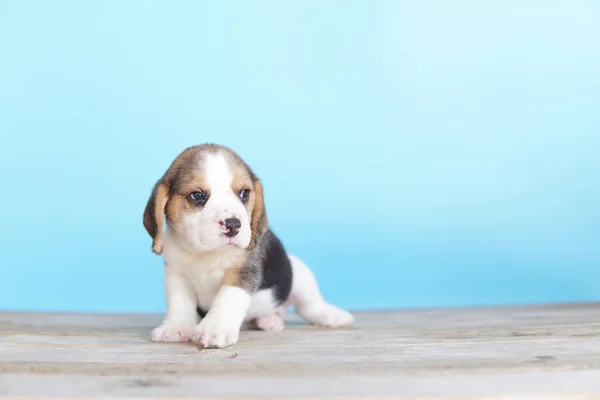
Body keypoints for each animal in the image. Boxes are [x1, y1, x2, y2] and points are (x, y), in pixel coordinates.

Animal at [143, 143, 354, 346]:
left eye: (244, 193)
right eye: (197, 195)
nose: (233, 225)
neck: (207, 253)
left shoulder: (243, 272)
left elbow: (227, 298)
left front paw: (215, 328)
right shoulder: (177, 274)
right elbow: (180, 303)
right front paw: (175, 327)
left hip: (298, 272)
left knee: (310, 306)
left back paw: (331, 316)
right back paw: (269, 320)